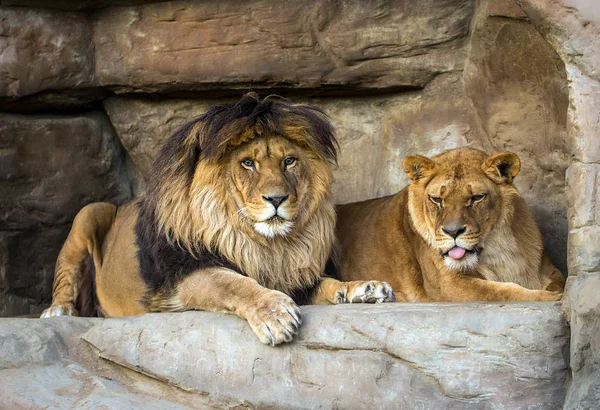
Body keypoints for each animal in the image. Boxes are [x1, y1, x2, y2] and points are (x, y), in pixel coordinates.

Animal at [41, 94, 394, 344]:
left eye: (290, 161)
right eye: (248, 163)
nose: (277, 199)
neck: (263, 244)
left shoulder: (294, 277)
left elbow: (326, 283)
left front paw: (364, 288)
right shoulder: (183, 272)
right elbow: (232, 283)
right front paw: (275, 314)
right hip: (90, 212)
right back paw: (57, 310)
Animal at [336, 147, 564, 302]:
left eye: (476, 197)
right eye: (437, 199)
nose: (453, 232)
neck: (496, 247)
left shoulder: (551, 271)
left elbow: (557, 283)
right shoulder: (449, 284)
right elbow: (501, 292)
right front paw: (551, 298)